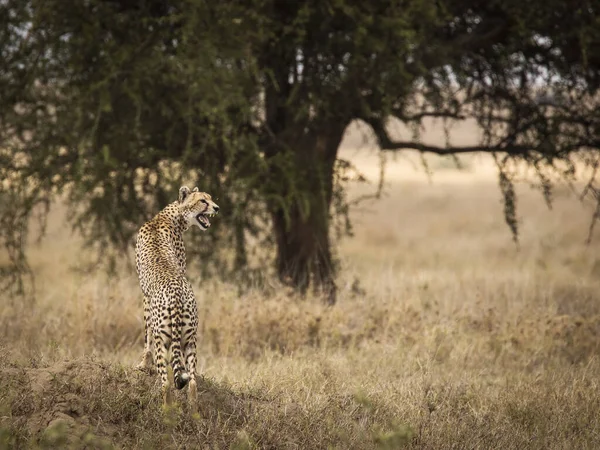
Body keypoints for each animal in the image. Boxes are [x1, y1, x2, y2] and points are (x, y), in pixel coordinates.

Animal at [135, 185, 219, 410]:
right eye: (203, 201)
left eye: (210, 199)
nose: (217, 208)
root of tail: (177, 298)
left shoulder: (145, 297)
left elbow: (146, 334)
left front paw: (143, 365)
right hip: (190, 338)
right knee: (192, 381)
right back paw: (193, 410)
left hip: (163, 339)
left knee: (166, 384)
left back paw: (166, 411)